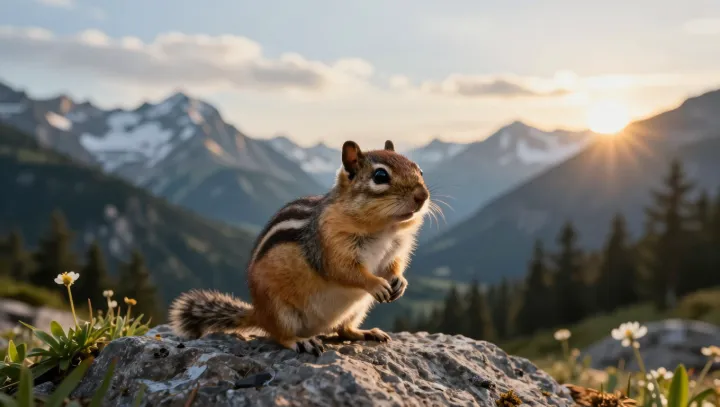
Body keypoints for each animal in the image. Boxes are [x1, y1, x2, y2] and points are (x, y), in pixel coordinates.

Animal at [168, 139, 431, 355]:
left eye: (419, 169)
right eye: (380, 176)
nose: (422, 196)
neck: (385, 229)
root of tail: (259, 313)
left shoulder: (395, 250)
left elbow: (392, 267)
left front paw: (399, 282)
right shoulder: (329, 245)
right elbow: (345, 271)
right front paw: (376, 283)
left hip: (358, 309)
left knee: (343, 330)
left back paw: (366, 333)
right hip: (280, 311)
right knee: (280, 336)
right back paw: (300, 341)